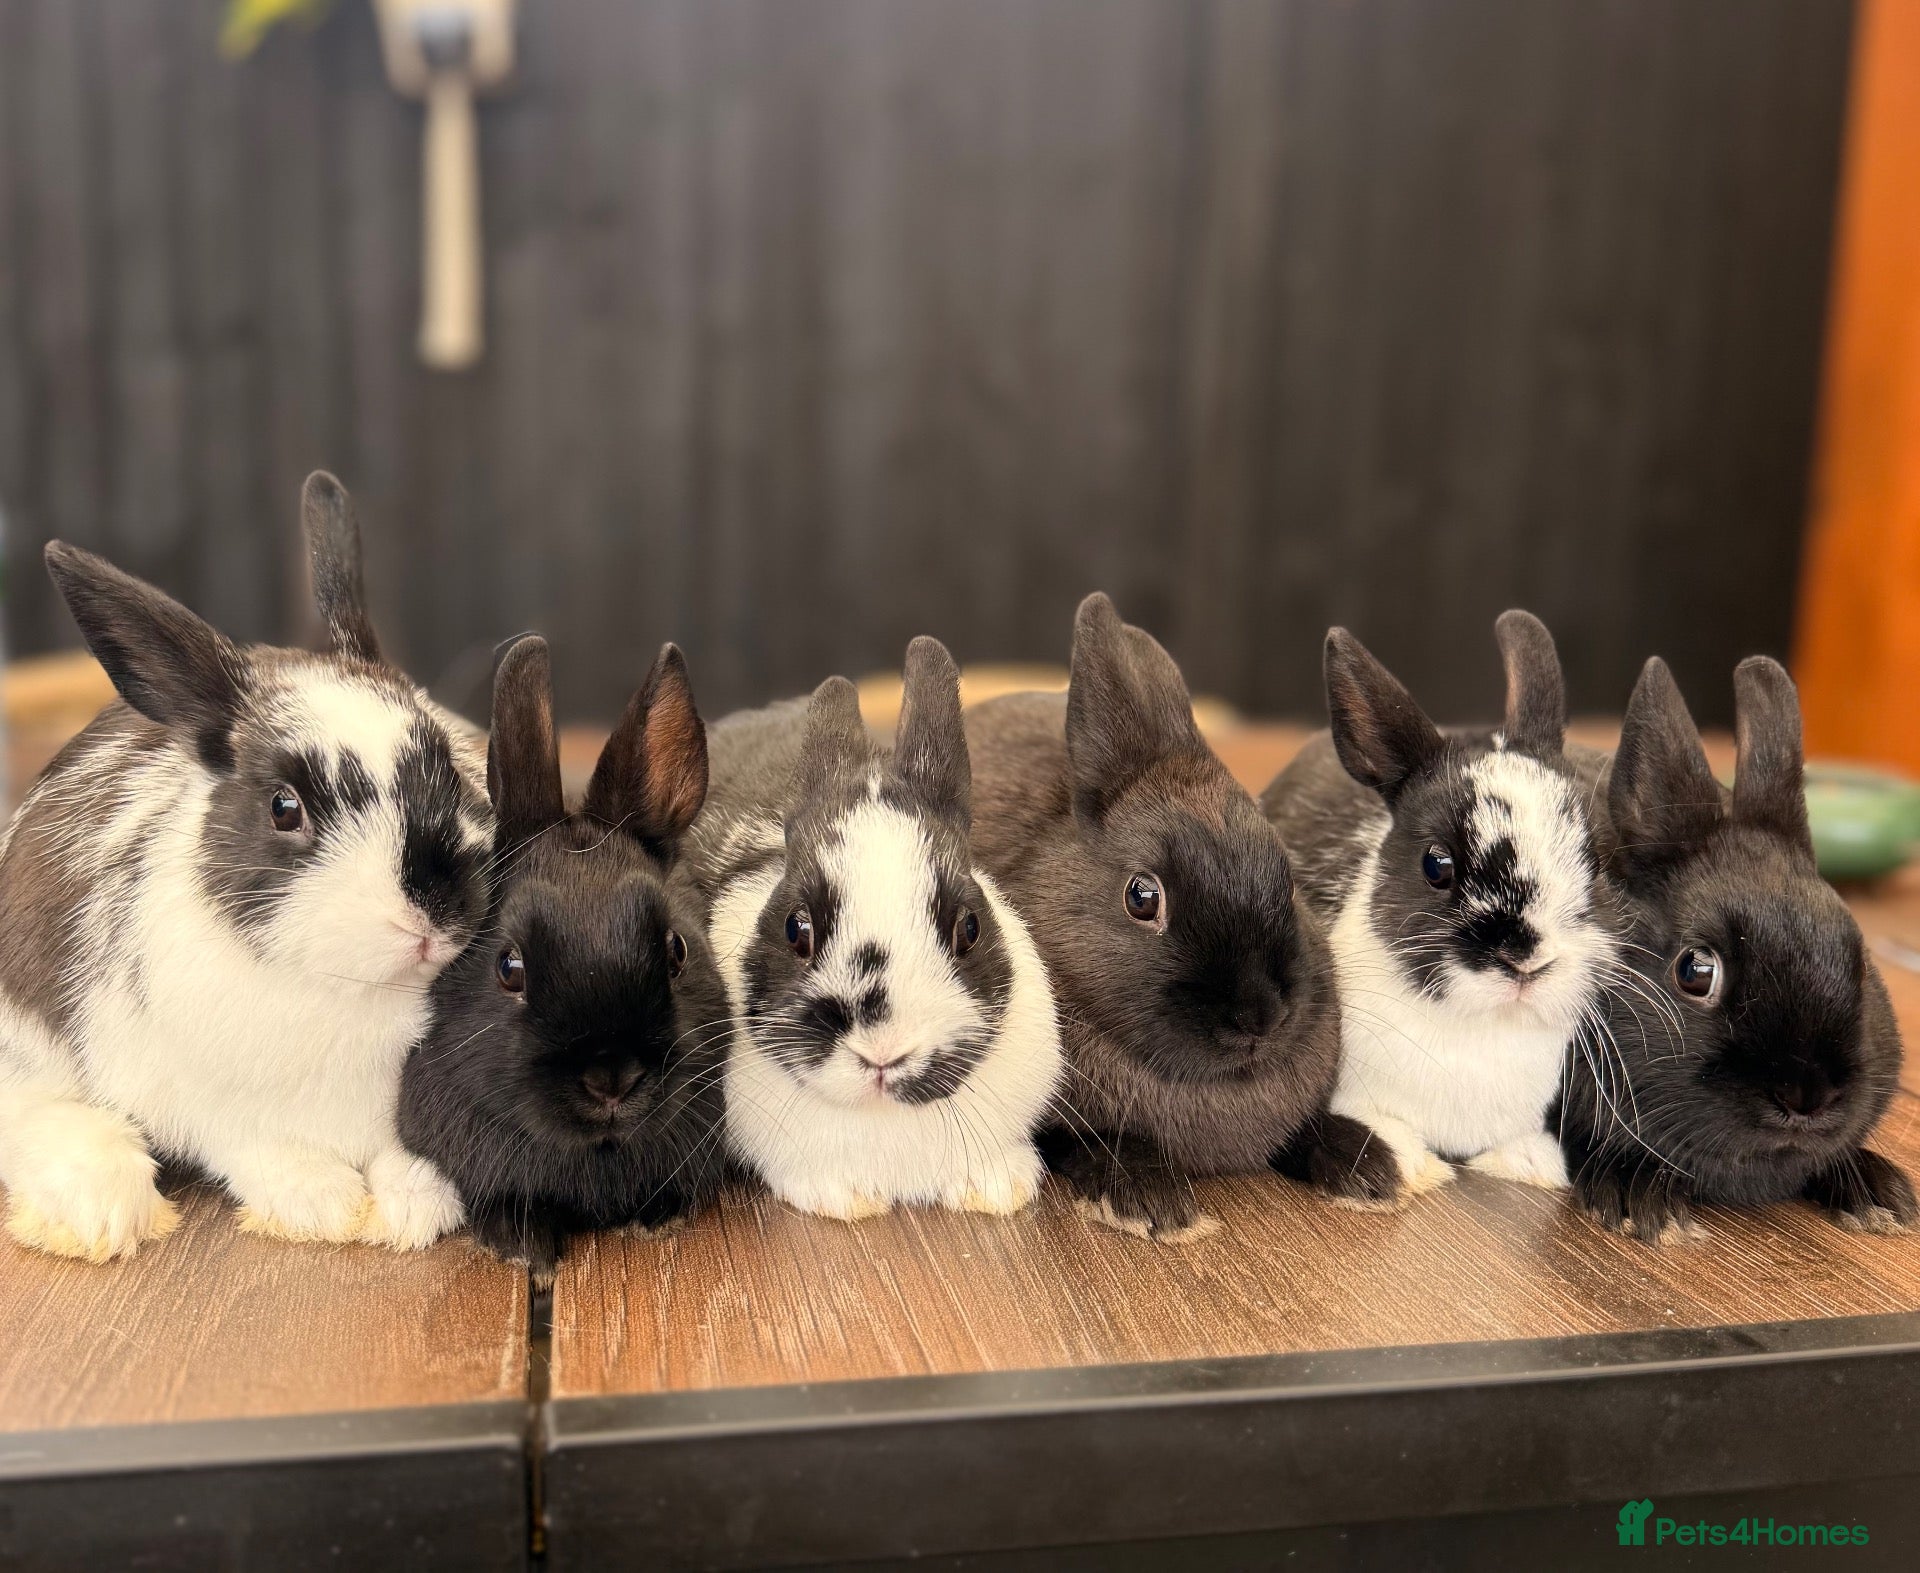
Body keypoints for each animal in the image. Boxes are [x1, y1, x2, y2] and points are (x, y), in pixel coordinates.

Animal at [0, 473, 491, 1261]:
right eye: (284, 808)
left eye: (445, 760)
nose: (436, 910)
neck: (356, 992)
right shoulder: (207, 1099)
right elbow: (257, 1148)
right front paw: (324, 1203)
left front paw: (413, 1206)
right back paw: (100, 1205)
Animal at [966, 593, 1361, 1242]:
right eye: (1142, 897)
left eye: (1287, 877)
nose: (1257, 1018)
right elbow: (1093, 1143)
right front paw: (1153, 1203)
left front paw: (1370, 1167)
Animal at [1260, 611, 1618, 1205]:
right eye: (1436, 865)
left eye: (1595, 858)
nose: (1527, 958)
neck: (1476, 1030)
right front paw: (1411, 1169)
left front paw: (1531, 1163)